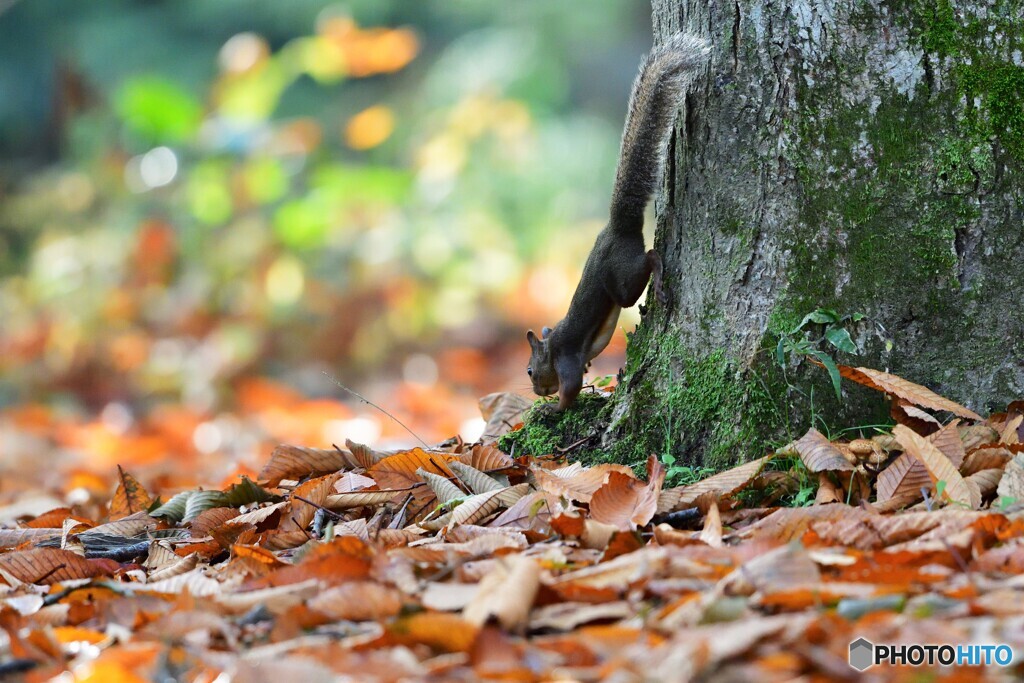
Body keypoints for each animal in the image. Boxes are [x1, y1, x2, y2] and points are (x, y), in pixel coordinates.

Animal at [524, 31, 708, 411]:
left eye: (531, 371)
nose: (535, 392)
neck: (555, 341)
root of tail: (618, 225)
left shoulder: (566, 358)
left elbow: (571, 387)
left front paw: (554, 409)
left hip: (621, 279)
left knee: (647, 262)